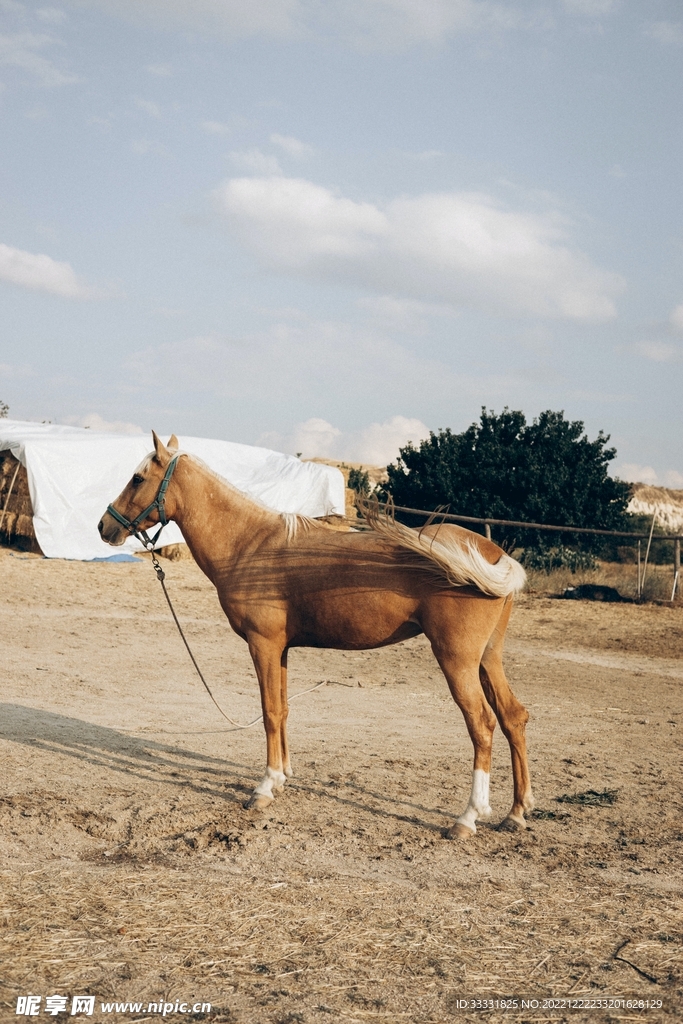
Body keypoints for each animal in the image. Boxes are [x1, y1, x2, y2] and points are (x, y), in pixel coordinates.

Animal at [99, 432, 534, 839]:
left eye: (137, 478)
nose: (104, 526)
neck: (248, 544)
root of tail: (494, 553)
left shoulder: (263, 645)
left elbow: (269, 712)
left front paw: (264, 788)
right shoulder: (281, 649)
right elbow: (283, 709)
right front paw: (281, 778)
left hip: (457, 660)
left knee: (482, 725)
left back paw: (468, 818)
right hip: (487, 658)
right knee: (512, 716)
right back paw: (516, 812)